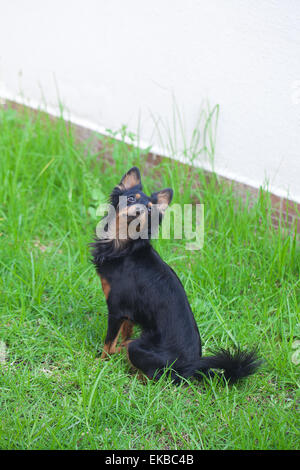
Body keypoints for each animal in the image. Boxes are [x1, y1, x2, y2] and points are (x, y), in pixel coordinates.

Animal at [91, 167, 260, 384]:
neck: (124, 246)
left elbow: (108, 342)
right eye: (129, 199)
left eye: (149, 210)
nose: (138, 212)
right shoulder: (129, 312)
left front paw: (100, 363)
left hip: (139, 349)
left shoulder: (116, 310)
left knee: (152, 375)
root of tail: (192, 368)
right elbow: (124, 333)